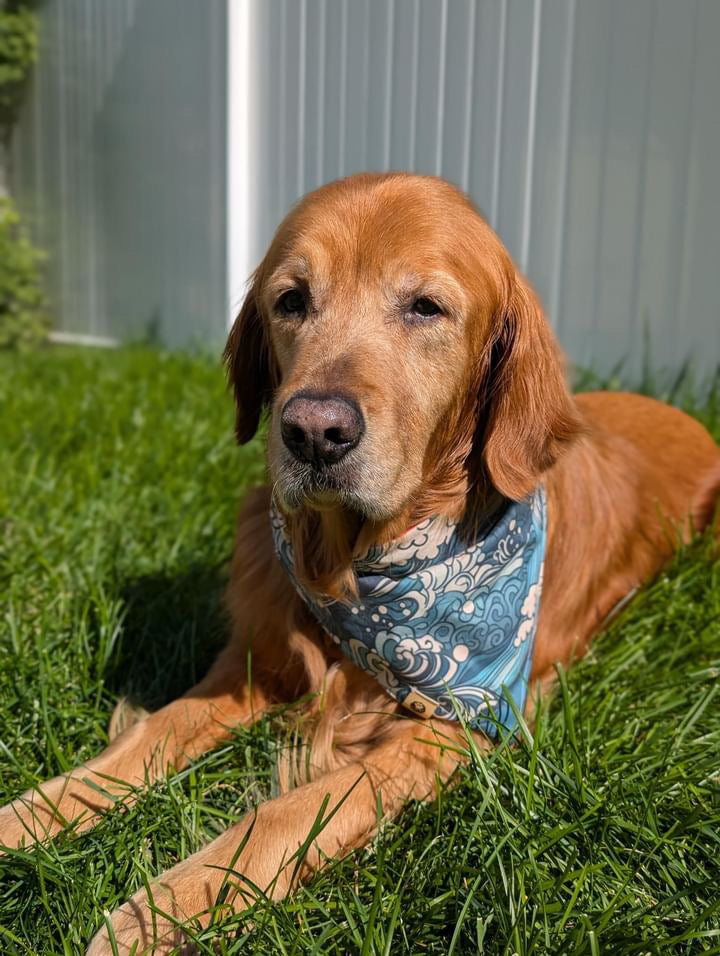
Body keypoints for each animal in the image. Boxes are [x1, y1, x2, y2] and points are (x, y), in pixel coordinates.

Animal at [1, 176, 720, 952]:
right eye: (291, 300)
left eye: (425, 307)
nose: (314, 432)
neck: (360, 565)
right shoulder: (257, 662)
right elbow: (148, 734)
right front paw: (29, 817)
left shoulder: (456, 725)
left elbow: (290, 808)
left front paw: (164, 906)